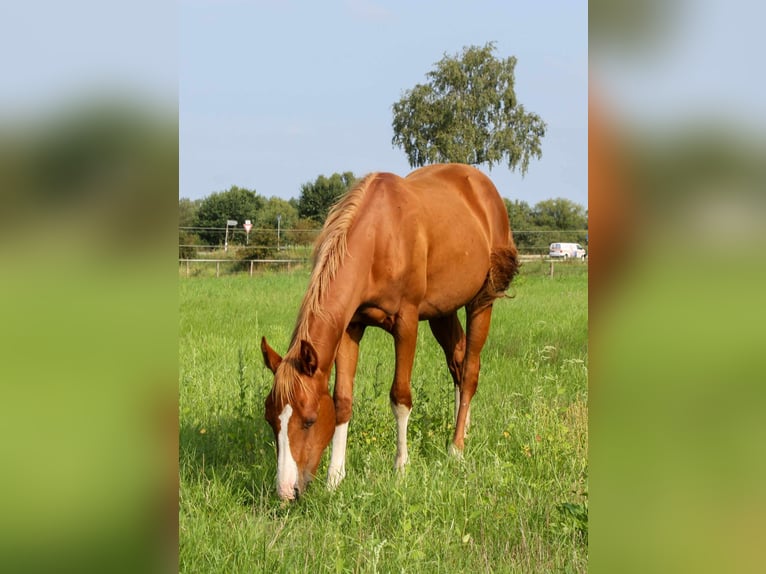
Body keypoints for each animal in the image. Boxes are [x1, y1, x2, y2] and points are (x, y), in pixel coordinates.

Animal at [260, 164, 520, 502]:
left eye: (309, 420)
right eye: (270, 418)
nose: (285, 492)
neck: (379, 236)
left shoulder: (406, 323)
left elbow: (400, 397)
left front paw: (401, 469)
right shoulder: (351, 327)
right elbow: (343, 400)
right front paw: (335, 478)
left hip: (481, 302)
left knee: (471, 369)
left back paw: (456, 448)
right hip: (443, 311)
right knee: (458, 363)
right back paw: (463, 427)